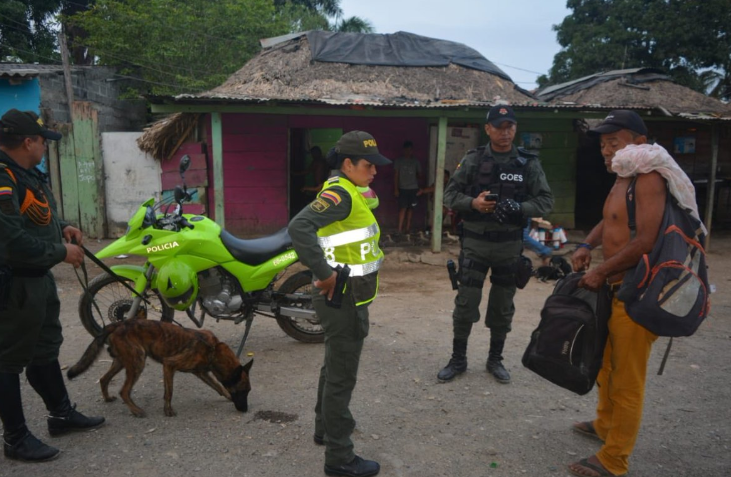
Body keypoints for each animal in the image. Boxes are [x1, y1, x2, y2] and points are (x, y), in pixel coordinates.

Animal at [67, 320, 254, 416]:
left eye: (248, 392)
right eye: (243, 391)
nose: (245, 410)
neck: (213, 350)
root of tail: (119, 323)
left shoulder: (201, 372)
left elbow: (218, 387)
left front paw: (227, 396)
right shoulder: (169, 364)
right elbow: (169, 392)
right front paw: (167, 410)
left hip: (122, 361)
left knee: (104, 379)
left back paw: (107, 398)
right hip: (138, 362)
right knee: (124, 391)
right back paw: (136, 410)